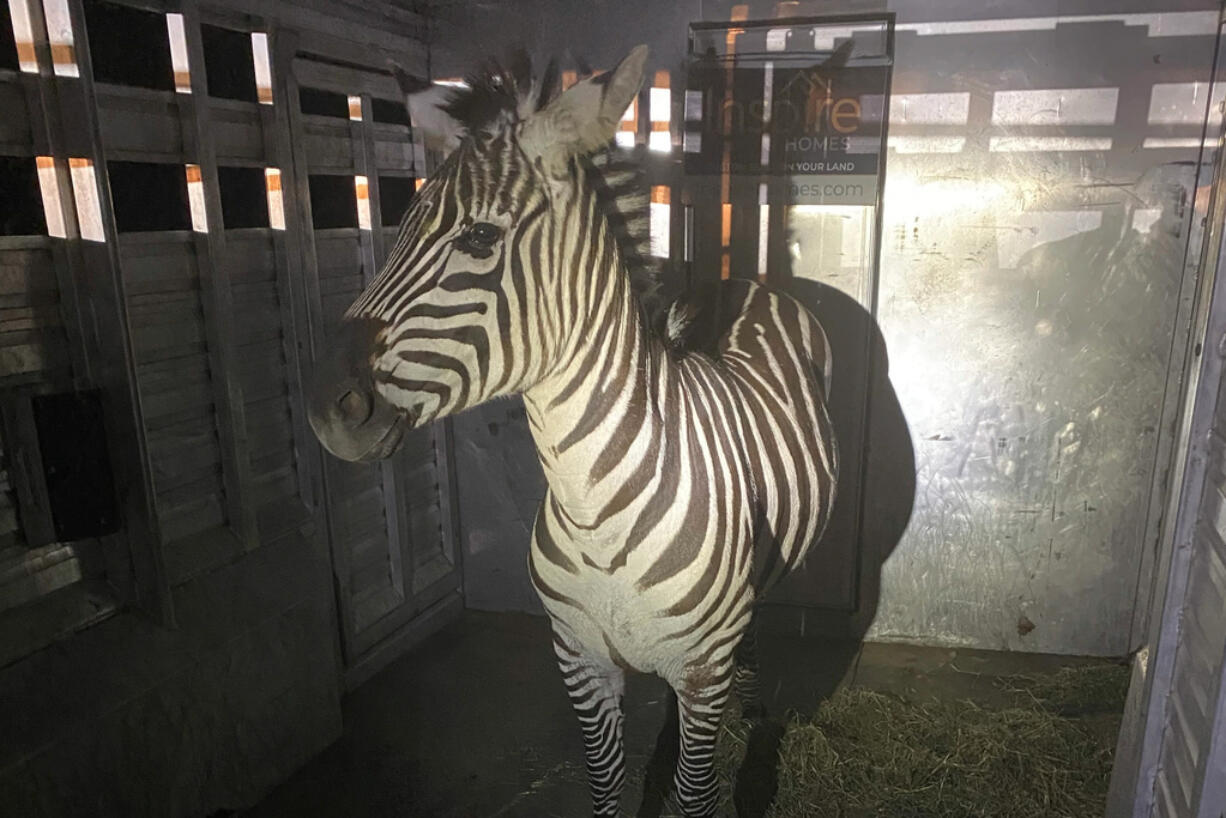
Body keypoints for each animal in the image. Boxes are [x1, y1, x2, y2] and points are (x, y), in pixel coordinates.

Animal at [311, 46, 838, 818]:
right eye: (401, 227)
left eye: (479, 237)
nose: (327, 407)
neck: (597, 513)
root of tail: (738, 283)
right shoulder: (579, 659)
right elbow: (607, 790)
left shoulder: (701, 667)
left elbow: (693, 797)